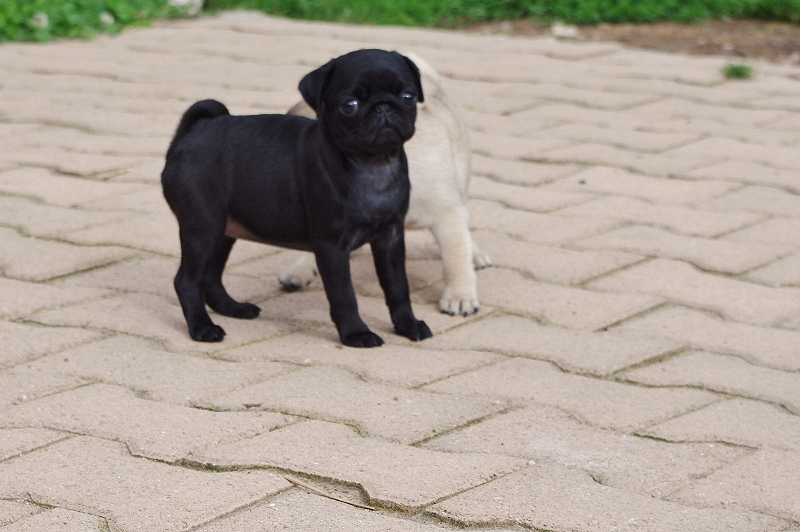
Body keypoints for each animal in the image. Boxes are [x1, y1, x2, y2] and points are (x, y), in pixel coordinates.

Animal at [161, 48, 432, 350]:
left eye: (408, 97)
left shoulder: (391, 238)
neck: (373, 163)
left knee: (210, 277)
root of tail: (190, 133)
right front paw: (356, 333)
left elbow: (398, 287)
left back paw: (234, 308)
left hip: (224, 230)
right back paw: (202, 328)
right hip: (203, 226)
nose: (383, 107)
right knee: (187, 281)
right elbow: (343, 294)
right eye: (349, 105)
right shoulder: (331, 245)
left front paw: (407, 325)